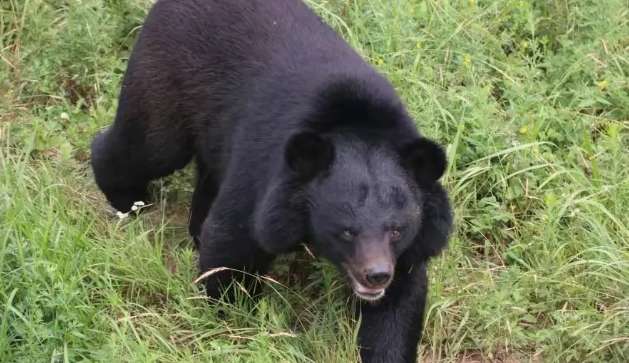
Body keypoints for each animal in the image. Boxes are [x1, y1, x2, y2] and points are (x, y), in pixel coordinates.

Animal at [89, 1, 452, 362]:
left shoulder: (411, 247)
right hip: (165, 79)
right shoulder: (264, 172)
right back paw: (127, 201)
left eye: (397, 231)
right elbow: (232, 243)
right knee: (148, 145)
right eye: (347, 231)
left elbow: (399, 303)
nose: (376, 275)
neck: (356, 122)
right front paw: (231, 320)